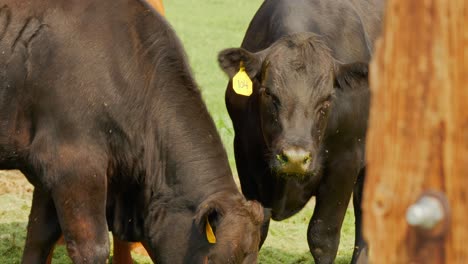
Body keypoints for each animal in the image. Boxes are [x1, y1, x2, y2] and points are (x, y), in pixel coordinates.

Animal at [218, 0, 384, 264]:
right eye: (268, 93)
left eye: (327, 99)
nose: (295, 158)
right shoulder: (245, 155)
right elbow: (256, 228)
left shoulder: (345, 162)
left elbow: (322, 237)